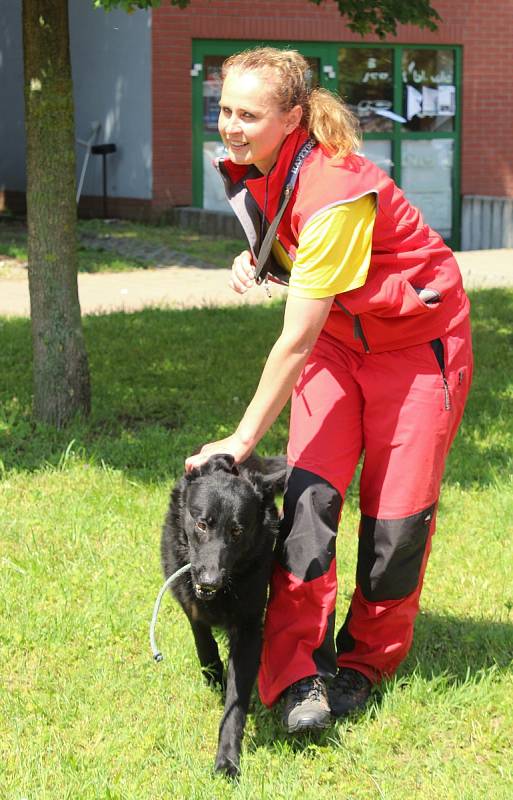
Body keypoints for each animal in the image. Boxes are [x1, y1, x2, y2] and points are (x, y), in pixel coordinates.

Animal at [160, 454, 284, 780]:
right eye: (202, 524)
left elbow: (235, 705)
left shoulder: (250, 628)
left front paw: (227, 759)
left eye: (237, 532)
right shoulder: (189, 600)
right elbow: (203, 641)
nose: (211, 581)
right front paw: (214, 675)